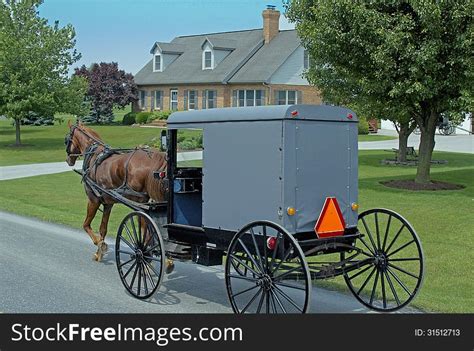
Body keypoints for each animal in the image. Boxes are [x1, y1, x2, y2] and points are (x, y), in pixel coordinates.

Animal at [65, 121, 168, 262]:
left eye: (66, 140)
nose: (68, 160)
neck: (93, 155)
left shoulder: (93, 199)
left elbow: (86, 225)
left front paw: (100, 244)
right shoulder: (107, 203)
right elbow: (103, 228)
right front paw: (99, 253)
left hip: (141, 203)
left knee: (146, 229)